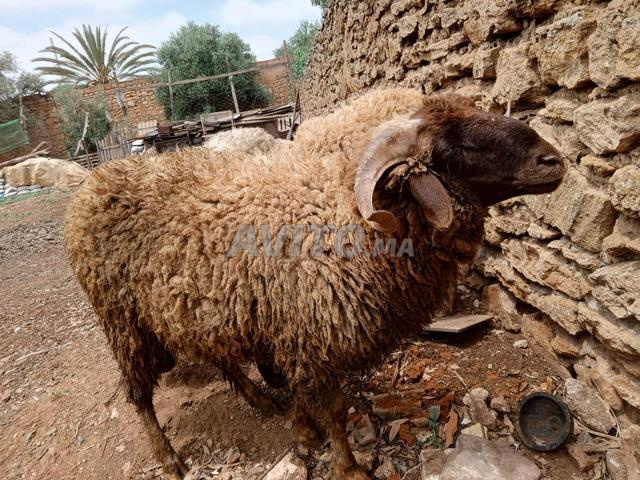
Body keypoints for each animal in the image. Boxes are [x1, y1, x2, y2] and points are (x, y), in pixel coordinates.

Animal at [64, 88, 566, 480]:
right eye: (456, 147)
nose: (554, 160)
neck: (353, 222)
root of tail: (95, 181)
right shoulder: (311, 336)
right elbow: (335, 410)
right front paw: (347, 465)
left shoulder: (294, 336)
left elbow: (306, 400)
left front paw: (302, 432)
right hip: (122, 319)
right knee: (138, 395)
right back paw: (169, 459)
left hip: (196, 306)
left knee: (218, 353)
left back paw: (259, 399)